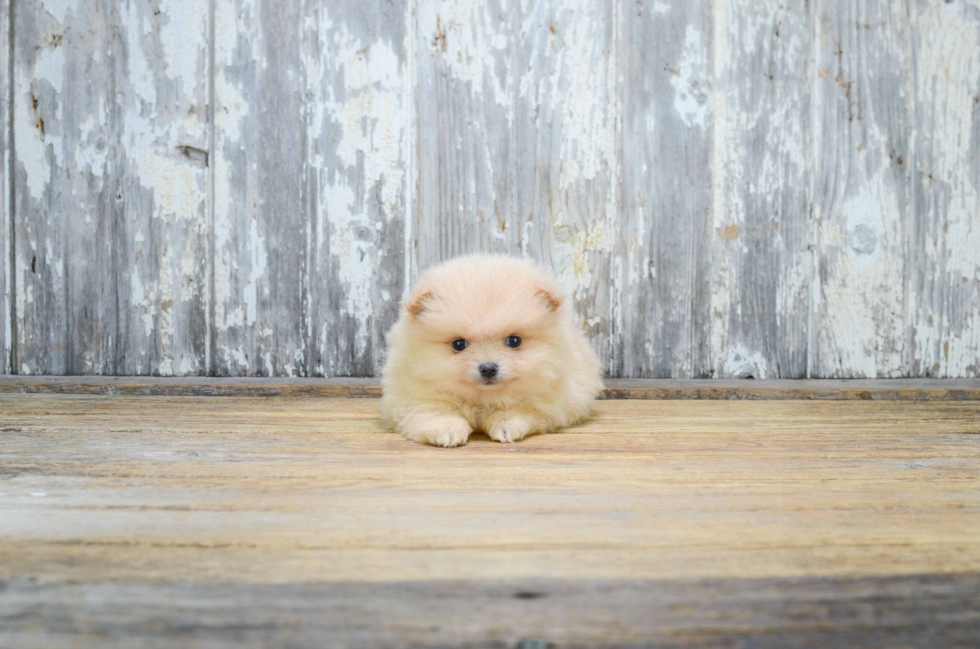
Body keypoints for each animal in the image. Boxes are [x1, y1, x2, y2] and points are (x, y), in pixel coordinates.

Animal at [382, 253, 604, 446]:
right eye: (458, 344)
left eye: (514, 341)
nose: (488, 368)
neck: (483, 400)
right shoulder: (415, 395)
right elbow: (433, 411)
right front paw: (447, 430)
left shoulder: (547, 398)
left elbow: (522, 409)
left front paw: (505, 425)